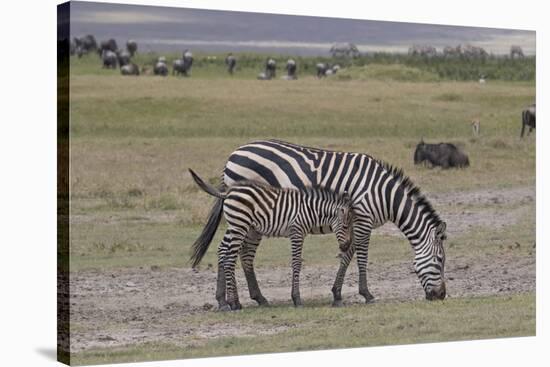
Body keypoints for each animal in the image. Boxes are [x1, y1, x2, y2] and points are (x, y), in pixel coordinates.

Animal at [189, 169, 354, 310]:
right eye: (346, 226)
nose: (346, 246)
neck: (310, 210)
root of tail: (228, 192)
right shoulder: (296, 231)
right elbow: (296, 263)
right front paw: (297, 299)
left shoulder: (300, 233)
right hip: (239, 225)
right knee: (229, 258)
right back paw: (233, 303)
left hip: (238, 226)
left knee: (225, 253)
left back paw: (232, 302)